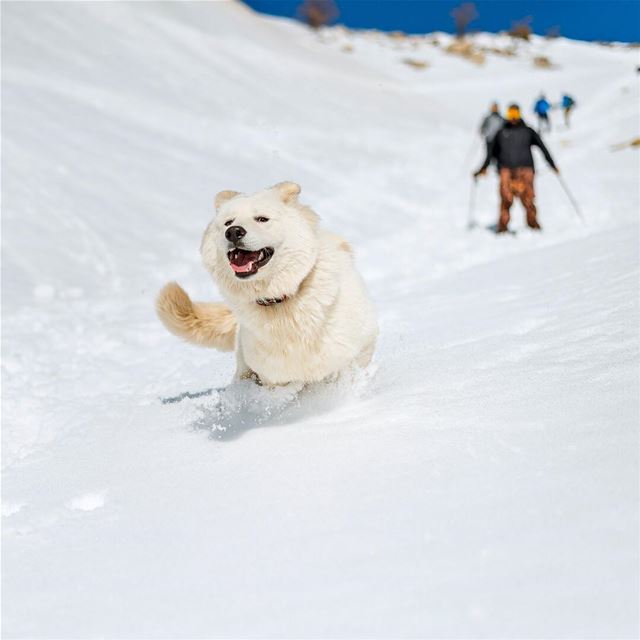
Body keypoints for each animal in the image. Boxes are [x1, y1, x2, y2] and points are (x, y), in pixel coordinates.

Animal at [158, 182, 378, 388]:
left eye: (262, 219)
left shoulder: (355, 353)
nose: (233, 232)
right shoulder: (274, 378)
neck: (282, 299)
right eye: (228, 222)